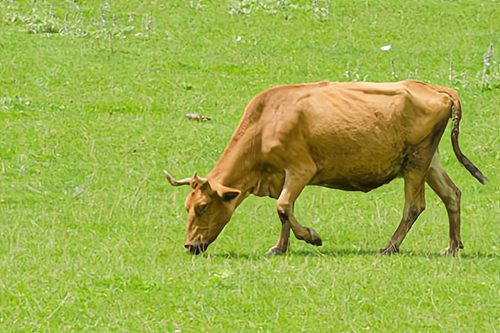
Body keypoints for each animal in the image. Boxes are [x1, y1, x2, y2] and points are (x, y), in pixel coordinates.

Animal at [166, 79, 486, 255]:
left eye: (202, 207)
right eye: (187, 206)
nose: (189, 246)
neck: (266, 122)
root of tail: (434, 87)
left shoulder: (300, 169)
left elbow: (283, 207)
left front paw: (312, 236)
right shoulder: (283, 176)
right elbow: (285, 212)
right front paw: (280, 248)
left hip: (417, 162)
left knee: (415, 205)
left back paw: (390, 247)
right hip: (428, 160)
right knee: (452, 195)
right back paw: (452, 247)